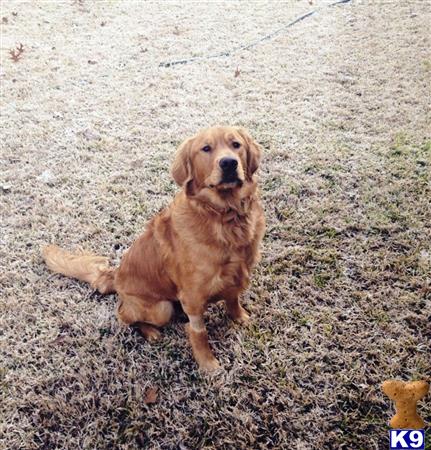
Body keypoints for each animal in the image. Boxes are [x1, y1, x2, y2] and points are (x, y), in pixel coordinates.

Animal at [44, 125, 266, 370]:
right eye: (206, 148)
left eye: (236, 145)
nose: (228, 163)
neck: (225, 216)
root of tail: (115, 275)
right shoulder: (193, 296)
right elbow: (198, 331)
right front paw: (208, 365)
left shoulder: (238, 273)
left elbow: (233, 299)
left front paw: (240, 317)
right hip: (161, 309)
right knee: (122, 315)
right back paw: (149, 331)